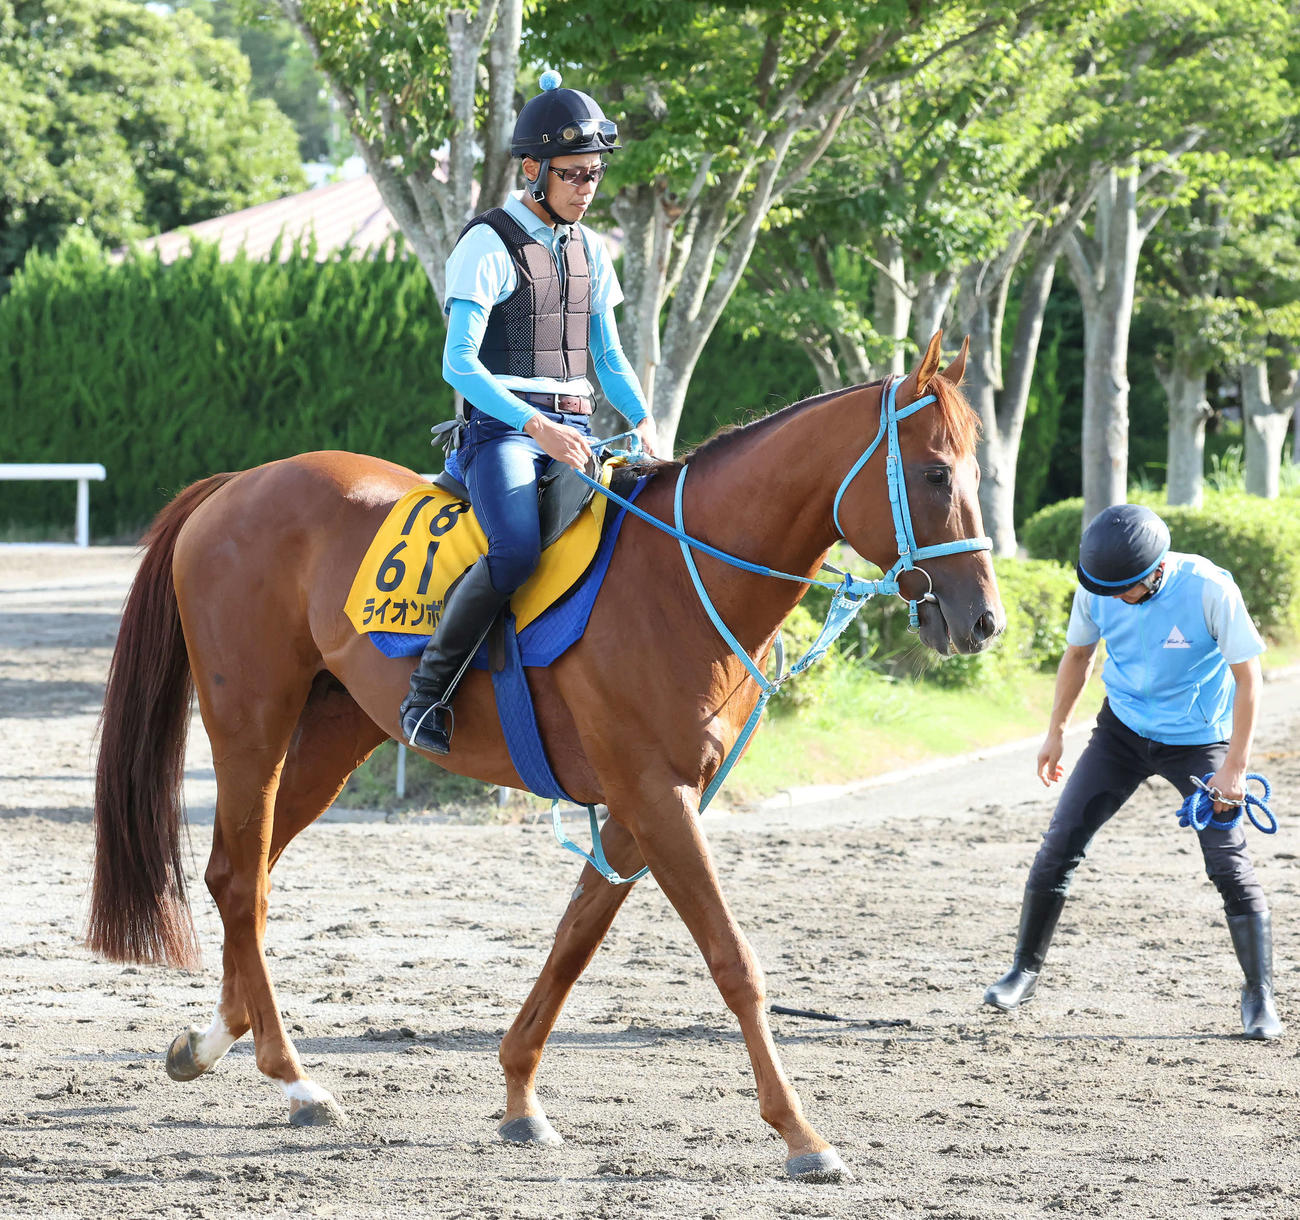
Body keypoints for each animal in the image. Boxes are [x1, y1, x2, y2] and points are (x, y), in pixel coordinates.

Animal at [87, 332, 1004, 1182]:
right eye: (933, 475)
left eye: (970, 470)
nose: (985, 620)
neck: (681, 576)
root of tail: (237, 484)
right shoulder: (655, 798)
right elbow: (733, 960)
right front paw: (802, 1136)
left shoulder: (640, 811)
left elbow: (572, 943)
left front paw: (520, 1097)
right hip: (253, 723)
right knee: (241, 880)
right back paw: (294, 1080)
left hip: (333, 734)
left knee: (243, 874)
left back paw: (214, 1041)